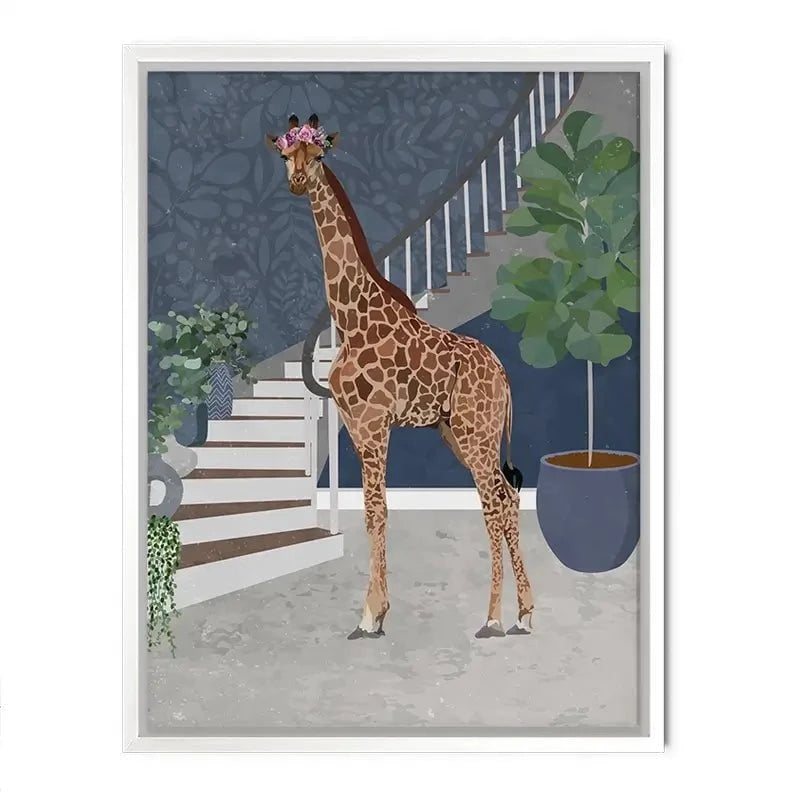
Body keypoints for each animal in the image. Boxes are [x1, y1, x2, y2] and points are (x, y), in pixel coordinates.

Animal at [266, 114, 534, 639]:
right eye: (286, 155)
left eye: (319, 155)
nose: (298, 182)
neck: (351, 318)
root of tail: (504, 374)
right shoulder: (354, 426)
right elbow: (373, 514)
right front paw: (376, 611)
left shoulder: (374, 425)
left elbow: (378, 509)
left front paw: (371, 614)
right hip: (459, 432)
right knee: (507, 497)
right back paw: (525, 613)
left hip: (476, 432)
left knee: (494, 504)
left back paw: (493, 617)